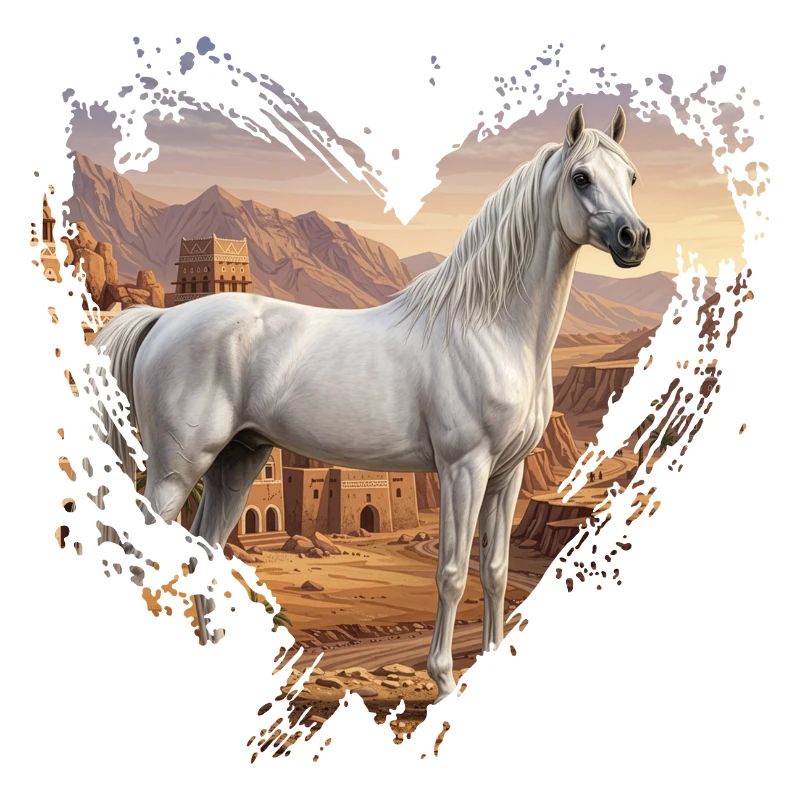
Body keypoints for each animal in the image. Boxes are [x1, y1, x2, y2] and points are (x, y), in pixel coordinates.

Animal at [93, 104, 650, 700]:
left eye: (632, 176)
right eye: (581, 178)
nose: (634, 238)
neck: (488, 328)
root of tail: (164, 318)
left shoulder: (508, 473)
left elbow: (495, 569)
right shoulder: (463, 468)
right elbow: (451, 573)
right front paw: (444, 680)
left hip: (238, 461)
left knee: (203, 549)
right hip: (179, 466)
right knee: (136, 552)